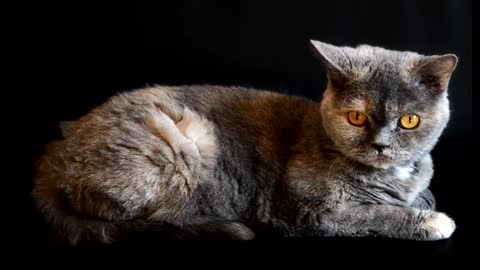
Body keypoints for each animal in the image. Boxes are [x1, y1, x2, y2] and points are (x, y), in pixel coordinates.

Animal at [31, 40, 460, 245]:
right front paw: (433, 220)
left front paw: (423, 200)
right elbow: (378, 215)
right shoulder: (313, 212)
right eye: (357, 117)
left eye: (408, 120)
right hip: (185, 144)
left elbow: (423, 194)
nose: (381, 145)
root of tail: (53, 157)